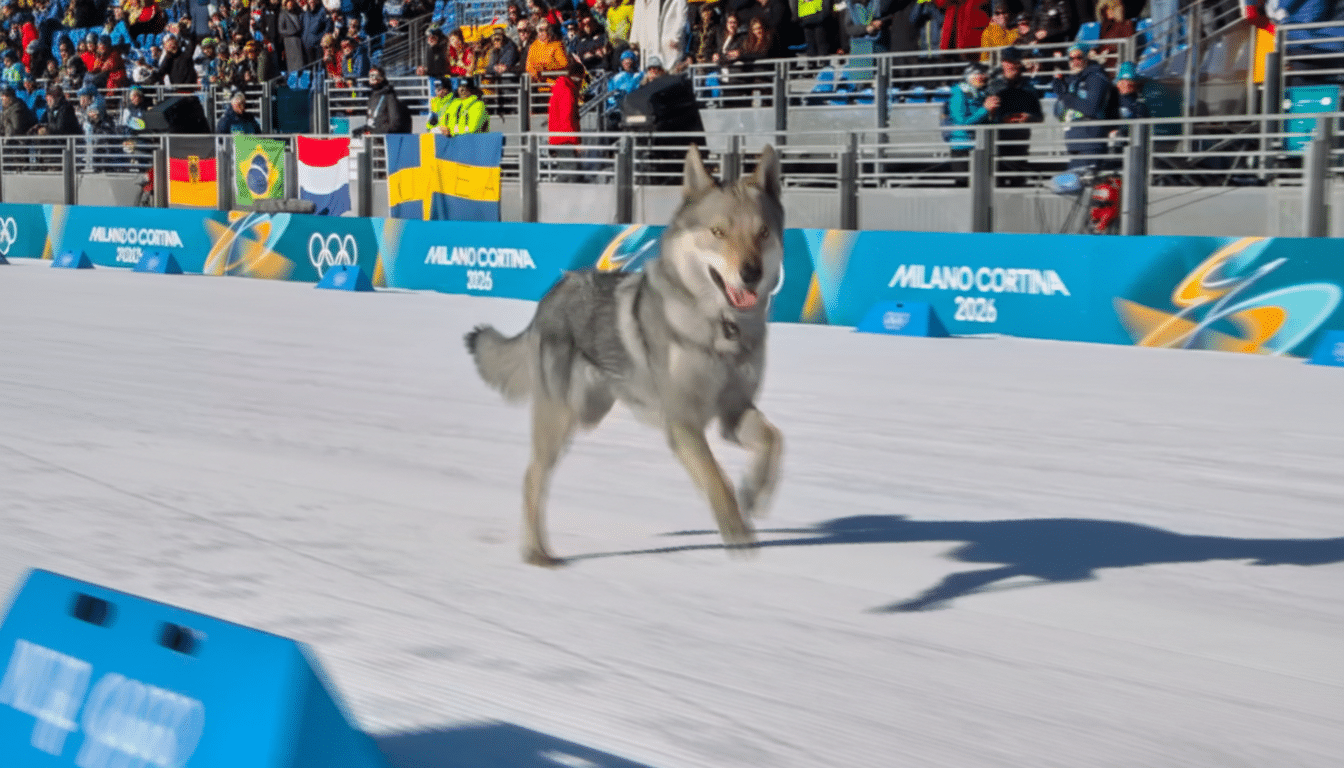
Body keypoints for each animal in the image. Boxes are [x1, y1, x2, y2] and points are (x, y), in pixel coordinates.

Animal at [465, 144, 786, 567]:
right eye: (718, 233)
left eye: (762, 233)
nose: (751, 273)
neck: (722, 329)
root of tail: (549, 297)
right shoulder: (683, 422)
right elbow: (718, 480)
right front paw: (738, 534)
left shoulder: (732, 412)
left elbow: (774, 440)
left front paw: (755, 497)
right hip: (562, 420)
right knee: (532, 478)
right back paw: (537, 554)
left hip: (589, 413)